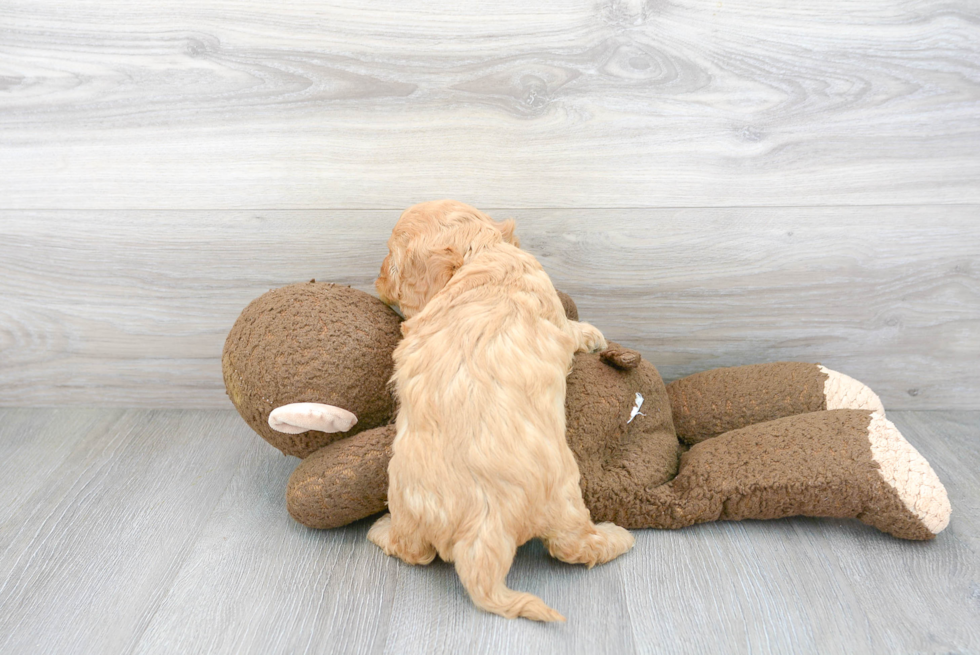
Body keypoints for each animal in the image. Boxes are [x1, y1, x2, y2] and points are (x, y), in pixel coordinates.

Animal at [368, 199, 636, 620]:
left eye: (390, 259)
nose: (375, 282)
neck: (481, 255)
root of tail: (484, 527)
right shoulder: (551, 307)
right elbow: (571, 329)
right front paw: (591, 334)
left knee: (416, 550)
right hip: (564, 497)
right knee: (574, 546)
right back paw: (617, 537)